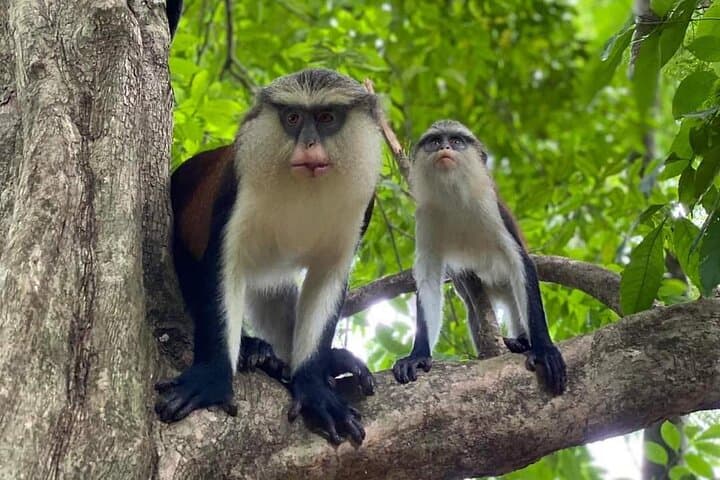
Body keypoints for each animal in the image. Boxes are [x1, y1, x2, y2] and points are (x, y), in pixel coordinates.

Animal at [154, 69, 382, 445]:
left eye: (326, 117)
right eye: (292, 118)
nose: (308, 144)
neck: (305, 190)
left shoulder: (362, 207)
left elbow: (328, 277)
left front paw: (314, 386)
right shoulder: (237, 189)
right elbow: (223, 265)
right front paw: (212, 378)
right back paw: (254, 350)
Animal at [392, 120, 567, 395]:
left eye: (456, 141)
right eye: (435, 142)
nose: (444, 148)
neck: (453, 197)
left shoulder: (490, 206)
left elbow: (521, 262)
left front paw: (544, 350)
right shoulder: (426, 217)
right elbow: (428, 279)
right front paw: (417, 356)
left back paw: (522, 342)